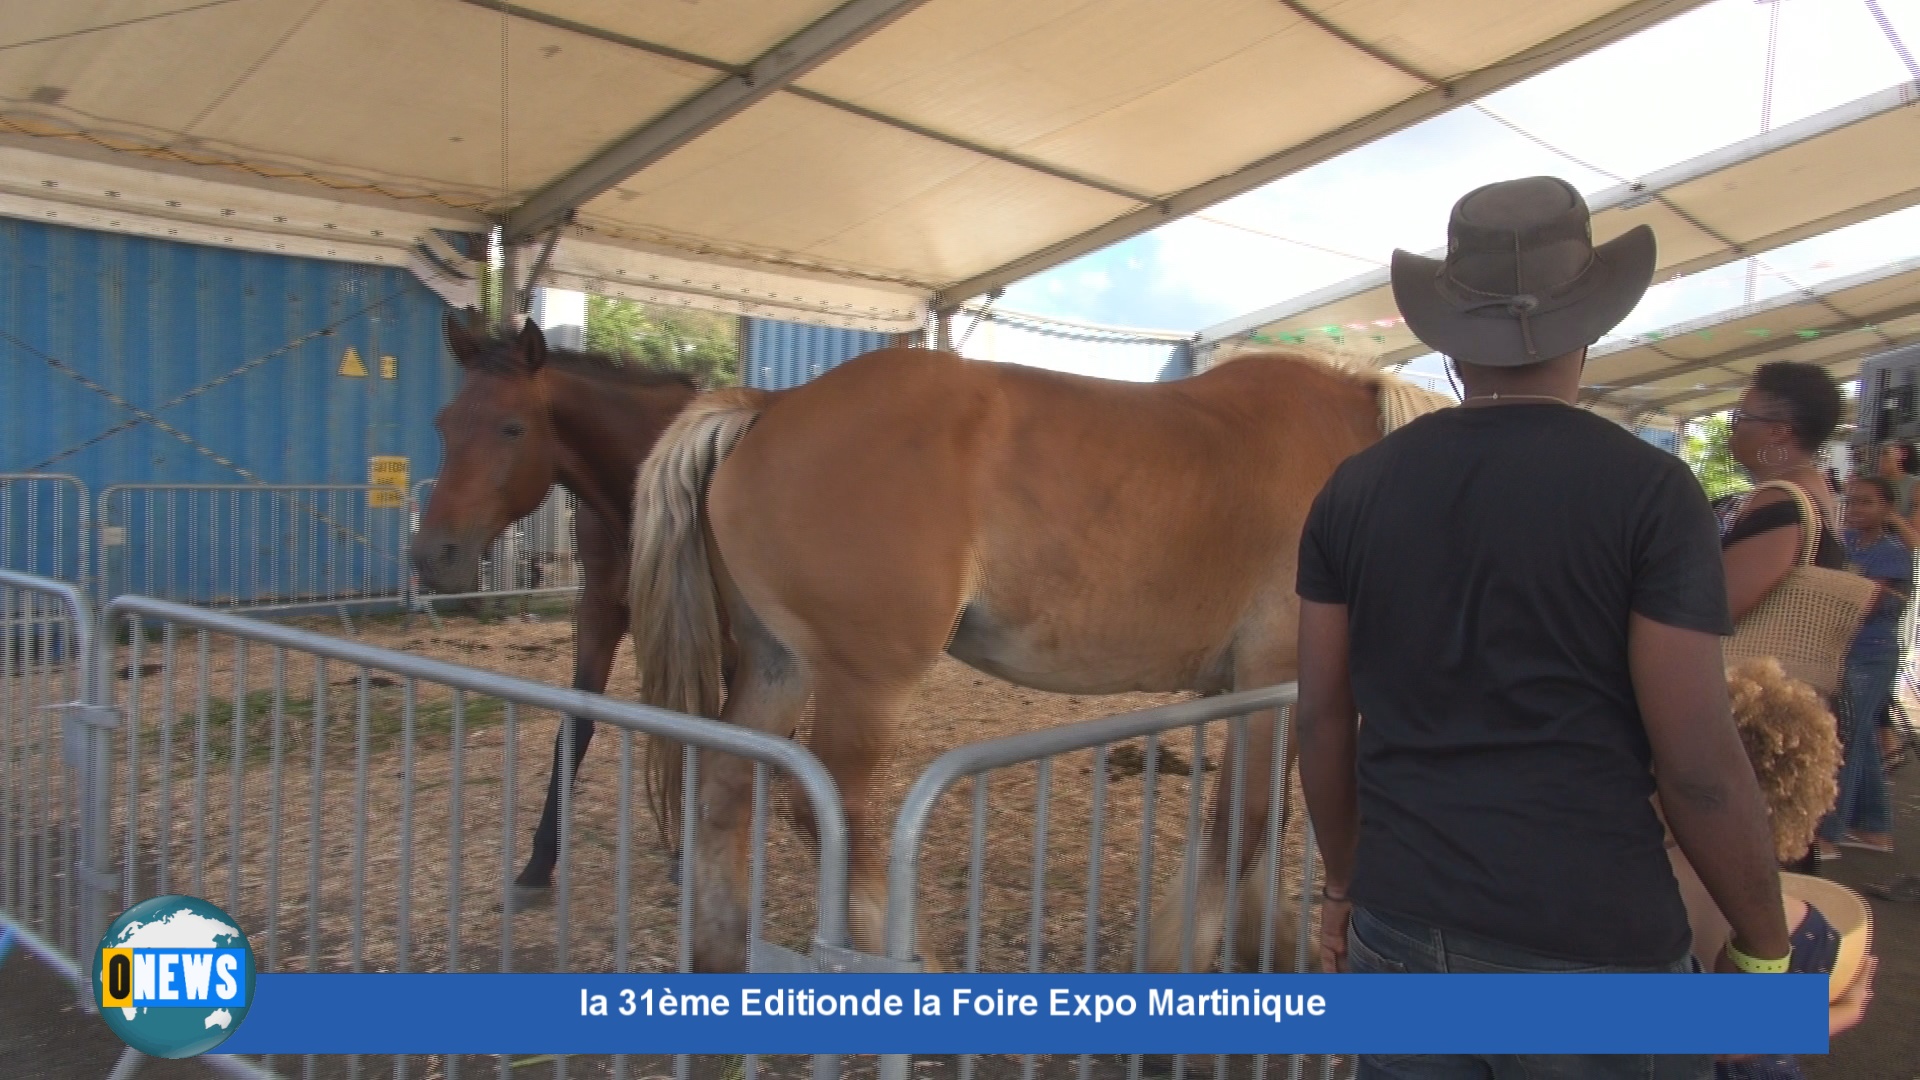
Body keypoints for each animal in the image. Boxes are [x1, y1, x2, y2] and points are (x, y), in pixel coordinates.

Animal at [412, 313, 706, 899]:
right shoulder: (599, 613)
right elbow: (576, 728)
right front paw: (539, 861)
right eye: (444, 424)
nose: (433, 557)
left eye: (513, 428)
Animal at [622, 342, 1443, 968]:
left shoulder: (1244, 693)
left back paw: (722, 951)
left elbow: (1257, 829)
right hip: (868, 685)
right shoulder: (1280, 681)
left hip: (779, 667)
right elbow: (1246, 826)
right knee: (836, 810)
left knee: (723, 787)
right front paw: (1177, 958)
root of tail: (774, 401)